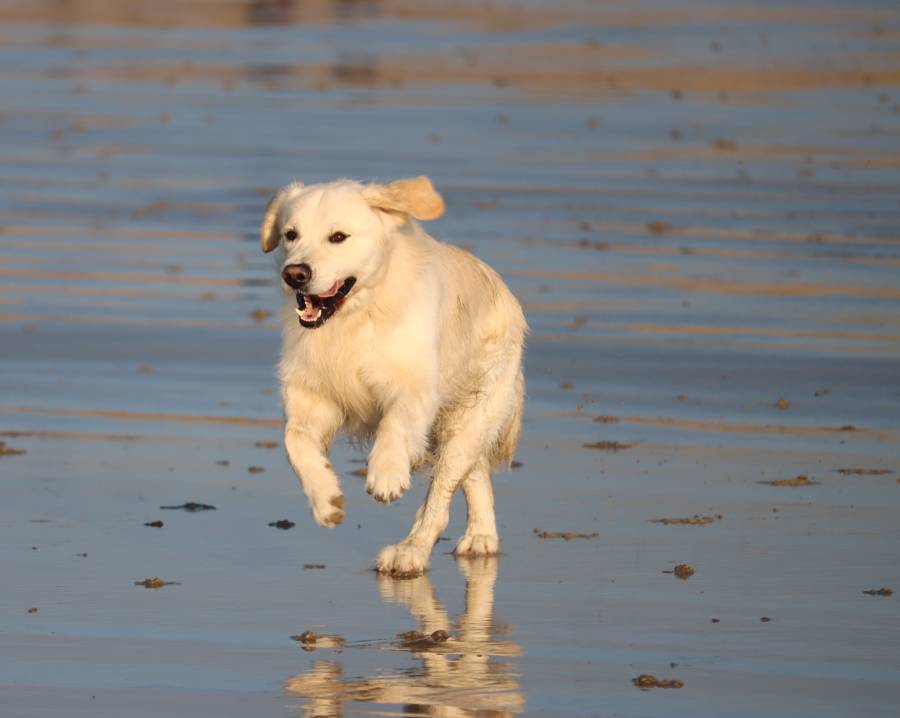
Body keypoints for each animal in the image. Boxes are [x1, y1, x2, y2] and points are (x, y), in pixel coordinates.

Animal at [260, 176, 525, 576]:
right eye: (291, 234)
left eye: (338, 237)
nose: (294, 274)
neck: (356, 317)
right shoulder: (311, 393)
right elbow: (295, 443)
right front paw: (326, 499)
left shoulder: (414, 386)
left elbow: (394, 424)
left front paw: (386, 475)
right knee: (475, 473)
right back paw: (481, 538)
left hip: (470, 416)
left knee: (442, 494)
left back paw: (410, 552)